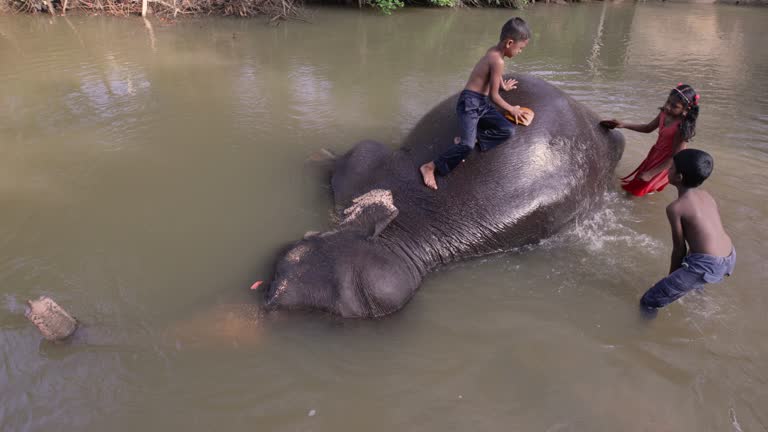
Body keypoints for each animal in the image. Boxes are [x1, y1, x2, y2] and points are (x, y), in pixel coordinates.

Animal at [264, 73, 624, 318]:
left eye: (345, 302)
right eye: (298, 249)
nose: (270, 298)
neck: (408, 224)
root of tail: (597, 121)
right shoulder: (365, 168)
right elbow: (359, 151)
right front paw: (317, 156)